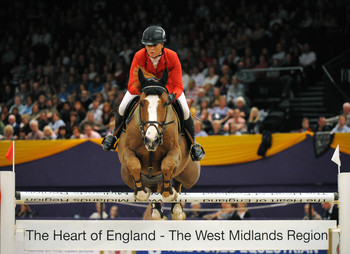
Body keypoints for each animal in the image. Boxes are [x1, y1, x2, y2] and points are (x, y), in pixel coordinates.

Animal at [117, 68, 200, 219]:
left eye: (166, 103)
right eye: (141, 103)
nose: (152, 139)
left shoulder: (175, 152)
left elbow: (168, 164)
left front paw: (168, 193)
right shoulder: (126, 151)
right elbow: (133, 163)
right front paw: (141, 193)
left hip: (189, 175)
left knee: (178, 181)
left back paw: (177, 210)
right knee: (154, 188)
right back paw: (156, 210)